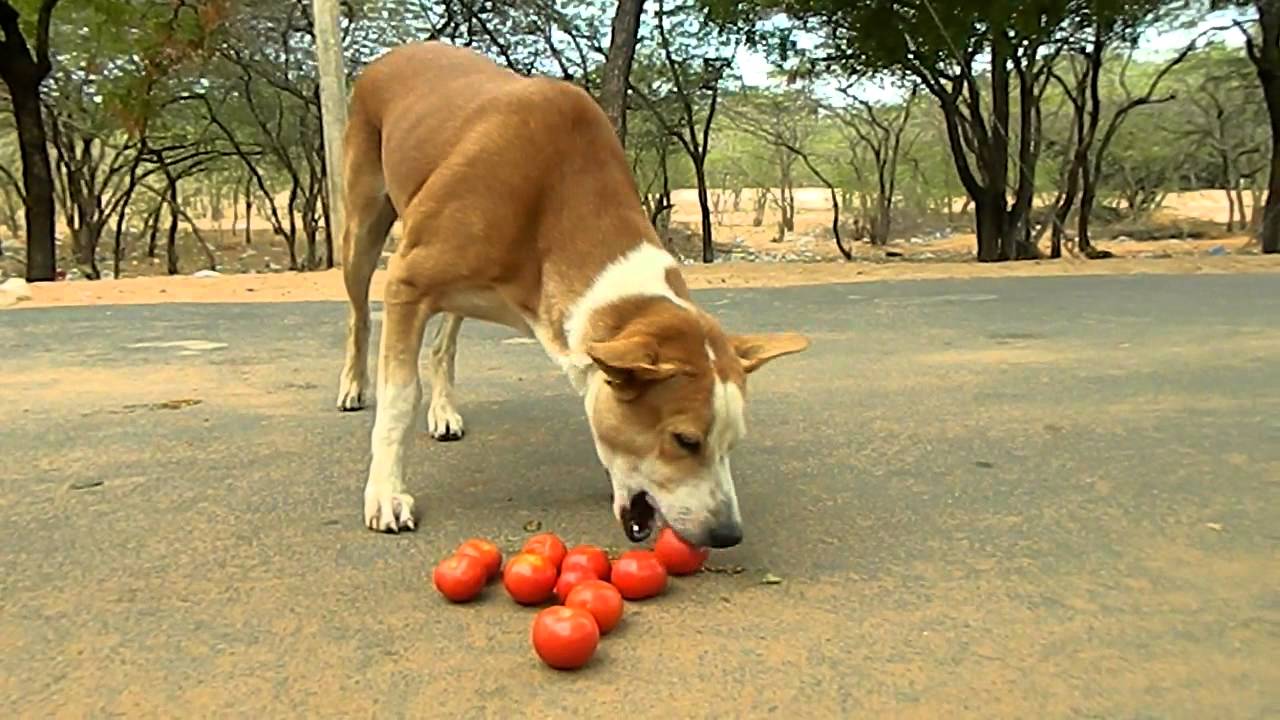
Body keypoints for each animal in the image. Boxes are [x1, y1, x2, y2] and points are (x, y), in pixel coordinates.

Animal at [335, 41, 803, 545]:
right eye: (685, 440)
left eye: (732, 443)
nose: (728, 534)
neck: (552, 195)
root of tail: (400, 52)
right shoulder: (407, 284)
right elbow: (399, 399)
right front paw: (386, 493)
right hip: (363, 231)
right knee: (359, 316)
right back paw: (354, 385)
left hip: (455, 292)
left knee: (444, 343)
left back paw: (443, 410)